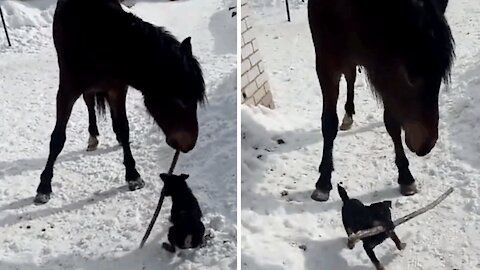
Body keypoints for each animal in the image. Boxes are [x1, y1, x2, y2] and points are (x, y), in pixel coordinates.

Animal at [33, 0, 206, 204]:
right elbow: (58, 138)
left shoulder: (117, 88)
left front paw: (133, 175)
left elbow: (123, 128)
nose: (189, 143)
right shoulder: (67, 90)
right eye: (180, 100)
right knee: (89, 103)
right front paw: (44, 187)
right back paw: (93, 137)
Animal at [308, 0, 454, 200]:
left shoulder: (381, 68)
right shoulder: (326, 64)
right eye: (410, 76)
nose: (426, 143)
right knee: (350, 76)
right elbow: (329, 123)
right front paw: (323, 181)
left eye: (441, 73)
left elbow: (392, 123)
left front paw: (406, 177)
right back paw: (348, 116)